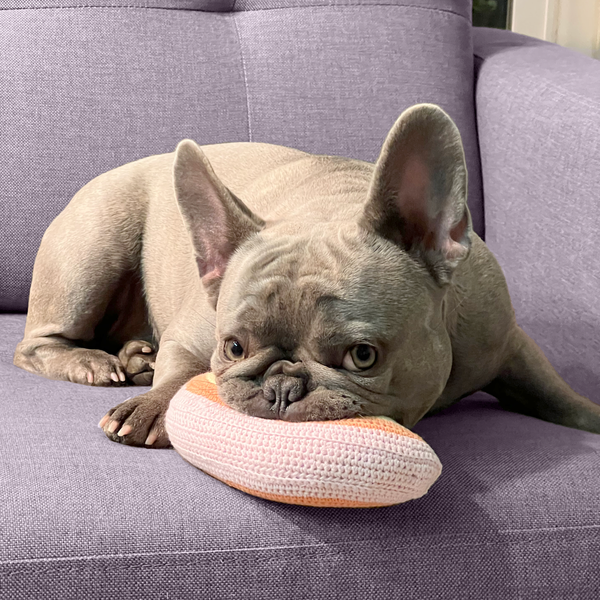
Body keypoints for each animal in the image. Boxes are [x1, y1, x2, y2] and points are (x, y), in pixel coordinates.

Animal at [14, 105, 600, 448]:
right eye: (232, 347)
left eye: (363, 356)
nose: (280, 388)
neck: (330, 205)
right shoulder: (190, 335)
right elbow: (181, 374)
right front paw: (154, 408)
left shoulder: (508, 342)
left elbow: (557, 394)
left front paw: (590, 416)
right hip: (93, 248)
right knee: (36, 344)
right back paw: (97, 363)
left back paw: (136, 356)